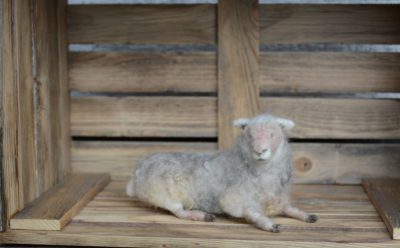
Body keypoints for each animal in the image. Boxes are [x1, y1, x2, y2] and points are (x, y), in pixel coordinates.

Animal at [126, 114, 318, 232]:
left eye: (272, 134)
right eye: (249, 136)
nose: (260, 151)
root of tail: (136, 175)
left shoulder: (277, 199)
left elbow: (288, 208)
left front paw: (305, 215)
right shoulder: (236, 200)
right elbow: (254, 214)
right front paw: (269, 224)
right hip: (164, 194)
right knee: (179, 212)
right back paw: (201, 215)